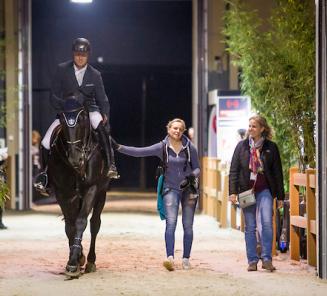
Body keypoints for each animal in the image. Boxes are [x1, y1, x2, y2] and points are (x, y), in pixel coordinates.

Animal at [48, 99, 110, 278]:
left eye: (82, 120)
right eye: (62, 121)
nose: (76, 159)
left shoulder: (92, 188)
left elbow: (81, 221)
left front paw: (75, 260)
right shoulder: (63, 192)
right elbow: (70, 225)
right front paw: (75, 259)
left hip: (101, 192)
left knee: (95, 223)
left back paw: (90, 261)